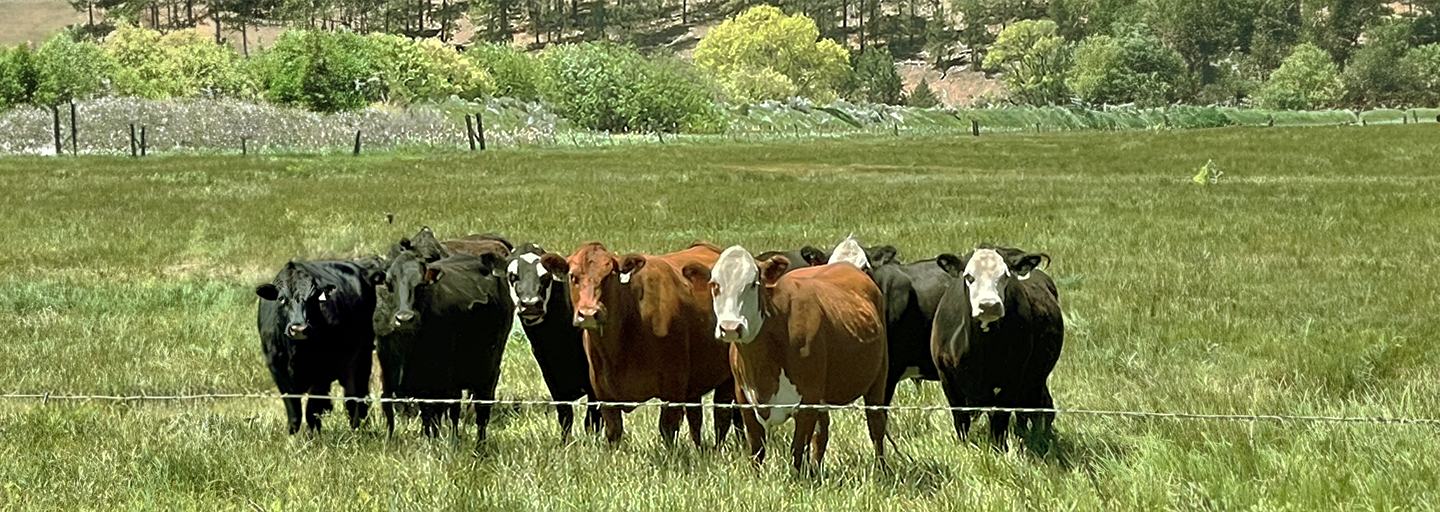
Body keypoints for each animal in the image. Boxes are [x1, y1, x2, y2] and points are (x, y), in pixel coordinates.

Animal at [256, 260, 377, 431]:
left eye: (313, 298)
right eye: (281, 299)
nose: (299, 328)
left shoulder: (323, 372)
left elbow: (311, 412)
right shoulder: (277, 370)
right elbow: (294, 414)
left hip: (361, 358)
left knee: (356, 396)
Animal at [544, 241, 737, 445]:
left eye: (609, 275)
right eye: (573, 276)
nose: (589, 312)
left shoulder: (673, 386)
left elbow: (668, 428)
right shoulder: (602, 392)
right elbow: (613, 431)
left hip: (727, 378)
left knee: (721, 417)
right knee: (696, 418)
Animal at [691, 245, 892, 468]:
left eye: (753, 284)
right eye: (714, 285)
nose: (730, 327)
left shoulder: (807, 403)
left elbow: (797, 454)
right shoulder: (745, 400)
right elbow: (757, 451)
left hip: (878, 380)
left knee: (876, 426)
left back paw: (881, 469)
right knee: (821, 435)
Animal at [927, 245, 1065, 448]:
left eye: (1006, 276)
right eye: (969, 276)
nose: (989, 305)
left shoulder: (1013, 378)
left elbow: (1000, 419)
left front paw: (999, 448)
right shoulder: (946, 376)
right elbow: (960, 418)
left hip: (1034, 379)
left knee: (1036, 408)